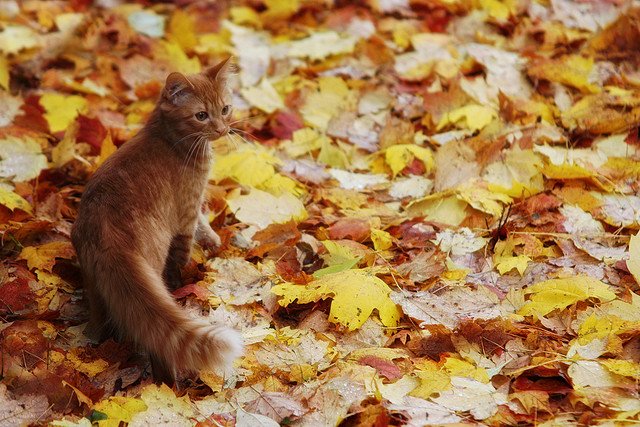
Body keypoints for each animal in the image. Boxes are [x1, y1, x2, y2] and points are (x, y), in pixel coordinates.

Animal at [71, 57, 244, 384]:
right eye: (201, 115)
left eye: (225, 108)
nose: (222, 129)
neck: (168, 137)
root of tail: (106, 232)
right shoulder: (186, 210)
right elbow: (185, 249)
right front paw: (186, 276)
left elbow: (203, 221)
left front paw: (213, 239)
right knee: (158, 344)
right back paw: (169, 385)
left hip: (93, 284)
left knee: (100, 324)